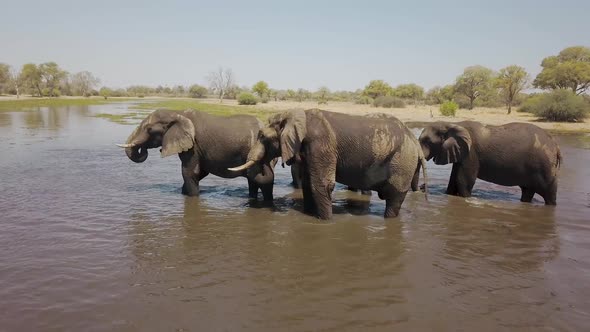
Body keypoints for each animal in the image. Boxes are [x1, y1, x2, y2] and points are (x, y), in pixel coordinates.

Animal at [119, 109, 278, 200]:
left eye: (150, 129)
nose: (143, 149)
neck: (177, 113)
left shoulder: (193, 146)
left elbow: (189, 172)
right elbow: (200, 173)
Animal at [229, 108, 428, 218]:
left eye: (262, 136)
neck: (295, 114)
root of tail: (415, 142)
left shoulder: (320, 143)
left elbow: (321, 185)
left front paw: (326, 222)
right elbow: (309, 184)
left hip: (402, 162)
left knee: (394, 197)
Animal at [420, 121, 564, 205]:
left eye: (426, 141)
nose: (422, 187)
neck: (449, 123)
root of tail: (556, 146)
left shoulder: (471, 153)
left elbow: (463, 180)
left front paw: (467, 199)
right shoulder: (461, 153)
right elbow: (453, 179)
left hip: (545, 167)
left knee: (549, 194)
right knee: (527, 192)